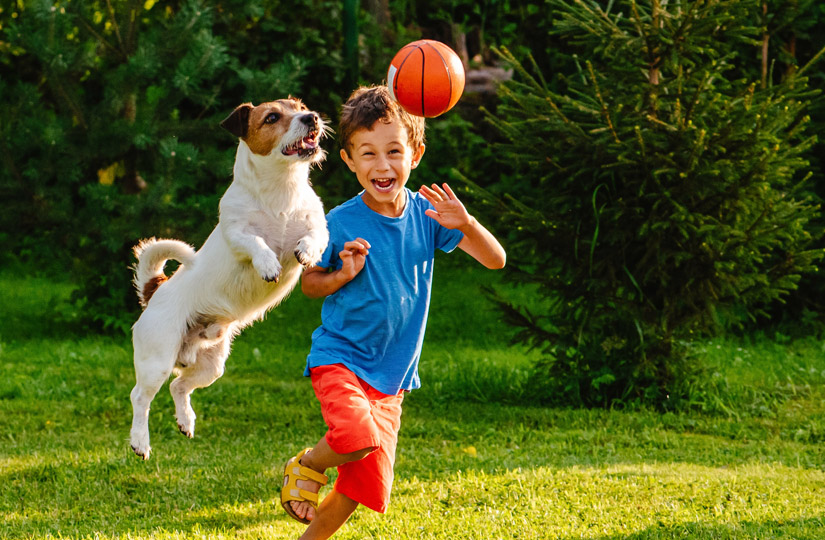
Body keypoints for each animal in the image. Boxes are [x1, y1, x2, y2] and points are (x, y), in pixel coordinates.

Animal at [129, 98, 328, 460]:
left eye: (300, 106)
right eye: (272, 117)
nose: (312, 118)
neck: (281, 190)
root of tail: (155, 291)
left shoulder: (318, 226)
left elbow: (313, 237)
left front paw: (305, 252)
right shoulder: (237, 234)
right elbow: (256, 243)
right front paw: (268, 263)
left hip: (211, 366)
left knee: (179, 386)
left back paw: (186, 421)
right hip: (157, 359)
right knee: (141, 397)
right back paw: (140, 441)